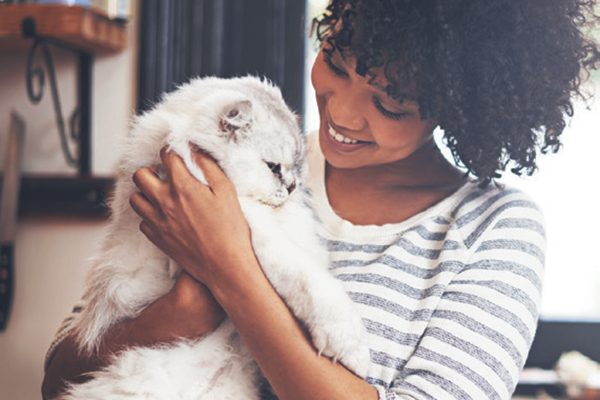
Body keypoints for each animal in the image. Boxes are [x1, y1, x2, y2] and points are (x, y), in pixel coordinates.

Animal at [61, 76, 370, 400]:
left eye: (297, 169)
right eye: (274, 167)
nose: (292, 187)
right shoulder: (254, 227)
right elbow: (310, 282)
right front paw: (351, 348)